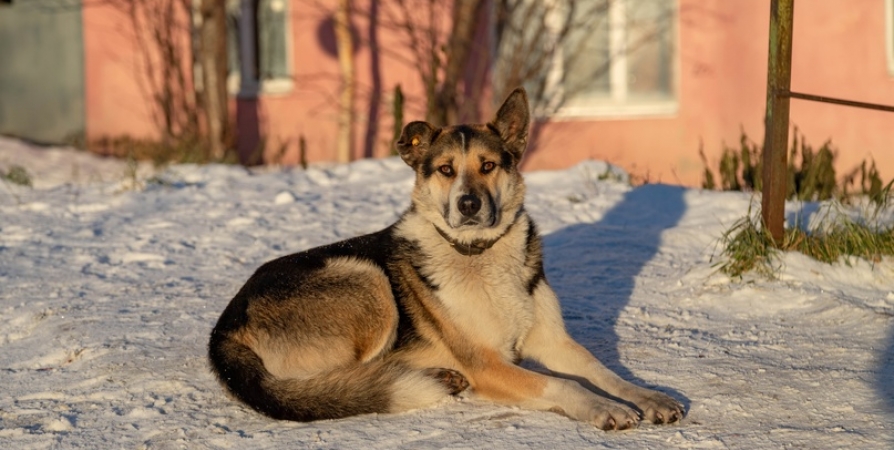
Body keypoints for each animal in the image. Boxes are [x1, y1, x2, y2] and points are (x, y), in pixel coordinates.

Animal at [208, 87, 688, 428]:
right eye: (445, 170)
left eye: (488, 165)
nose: (468, 204)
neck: (479, 254)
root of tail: (224, 326)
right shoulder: (487, 364)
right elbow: (561, 383)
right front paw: (601, 408)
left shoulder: (552, 341)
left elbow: (601, 370)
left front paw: (649, 396)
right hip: (366, 280)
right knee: (342, 385)